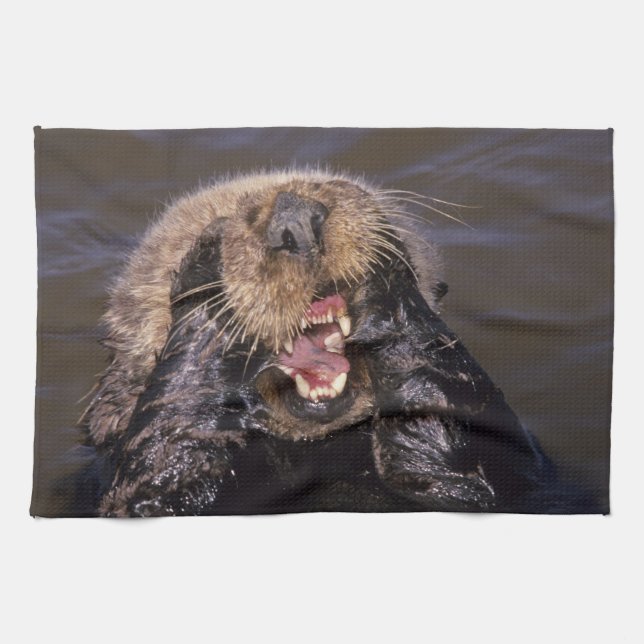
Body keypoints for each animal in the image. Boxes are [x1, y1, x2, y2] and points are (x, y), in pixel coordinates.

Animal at [83, 169, 560, 516]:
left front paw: (387, 273)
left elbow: (481, 462)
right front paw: (205, 269)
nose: (294, 217)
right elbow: (159, 484)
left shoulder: (511, 476)